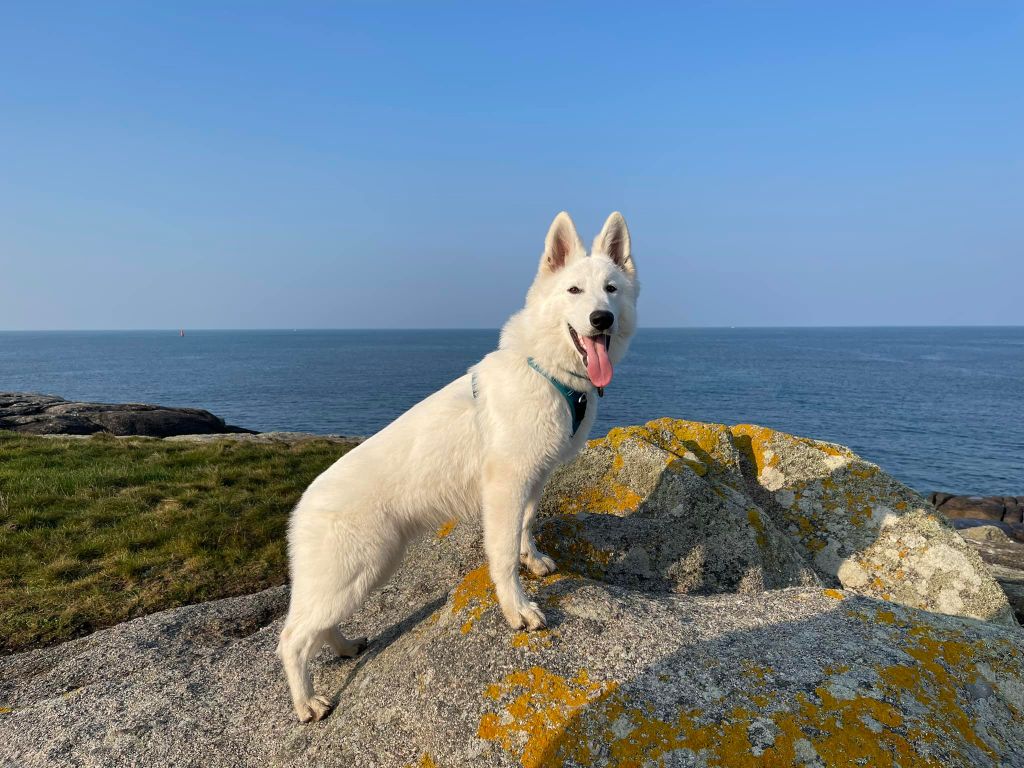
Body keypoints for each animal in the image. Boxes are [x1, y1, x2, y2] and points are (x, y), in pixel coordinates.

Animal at [276, 210, 634, 720]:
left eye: (611, 289)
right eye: (574, 291)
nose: (601, 319)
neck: (545, 370)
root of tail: (302, 505)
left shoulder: (532, 480)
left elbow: (525, 526)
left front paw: (533, 558)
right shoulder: (505, 486)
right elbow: (501, 555)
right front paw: (516, 610)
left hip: (370, 570)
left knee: (317, 626)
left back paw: (345, 647)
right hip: (354, 573)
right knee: (291, 638)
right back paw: (306, 702)